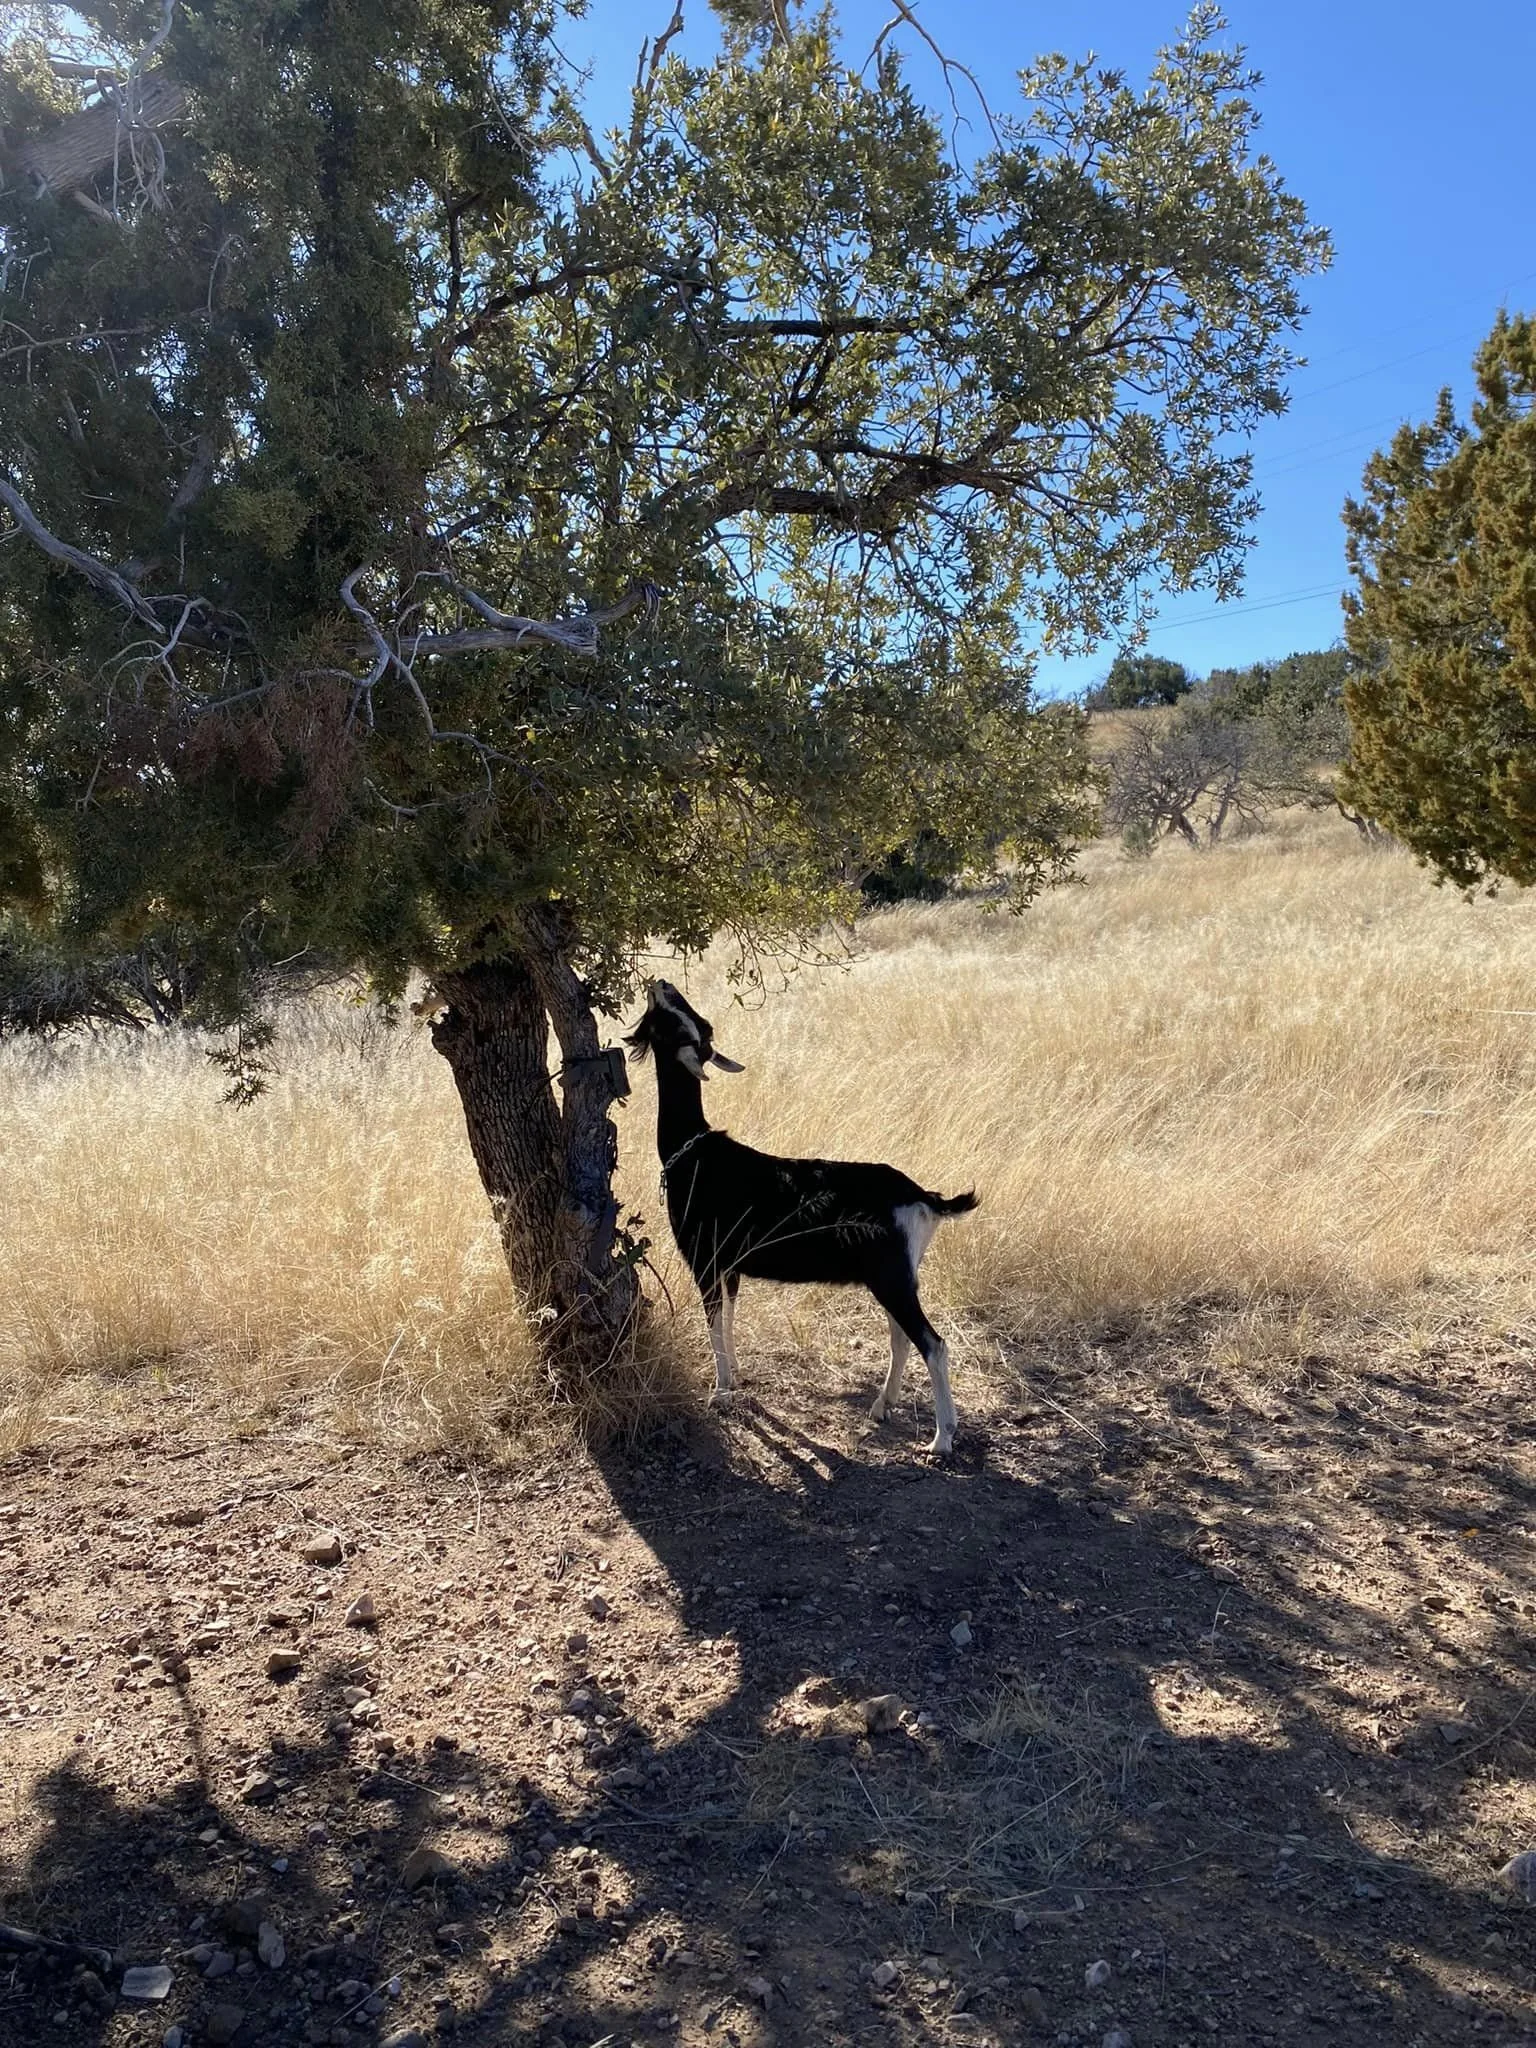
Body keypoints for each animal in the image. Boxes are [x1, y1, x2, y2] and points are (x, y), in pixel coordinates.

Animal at [626, 980, 977, 1453]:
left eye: (677, 1022)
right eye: (692, 1022)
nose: (661, 985)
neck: (694, 1154)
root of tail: (924, 1197)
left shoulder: (706, 1261)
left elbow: (714, 1323)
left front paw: (720, 1392)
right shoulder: (731, 1267)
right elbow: (730, 1318)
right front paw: (736, 1378)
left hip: (890, 1277)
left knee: (933, 1344)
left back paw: (941, 1439)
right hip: (899, 1277)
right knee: (902, 1337)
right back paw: (882, 1405)